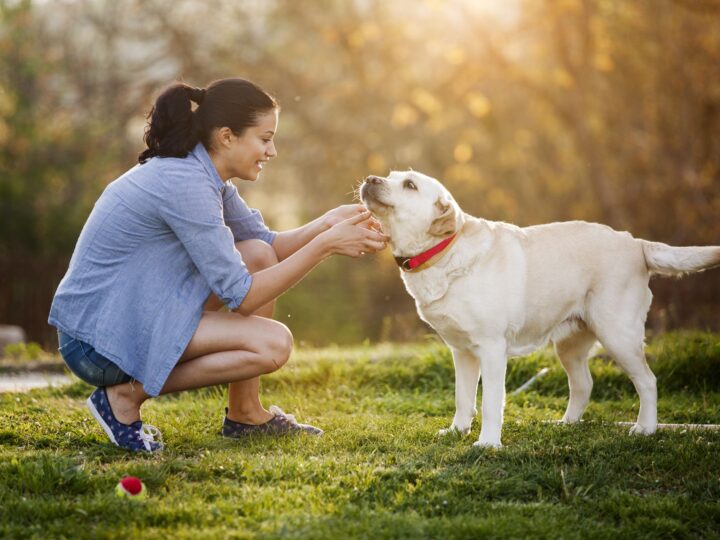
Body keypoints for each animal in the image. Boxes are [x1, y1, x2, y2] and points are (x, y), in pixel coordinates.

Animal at [360, 170, 720, 448]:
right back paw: (566, 424)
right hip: (570, 345)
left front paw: (487, 443)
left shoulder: (492, 348)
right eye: (390, 175)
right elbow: (463, 398)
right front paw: (456, 431)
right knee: (583, 385)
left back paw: (645, 428)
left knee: (647, 381)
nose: (370, 179)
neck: (442, 252)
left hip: (618, 334)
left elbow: (490, 402)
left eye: (409, 185)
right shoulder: (461, 351)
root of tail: (636, 242)